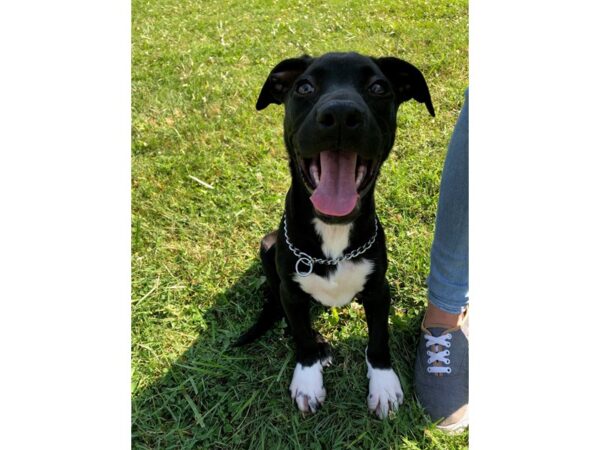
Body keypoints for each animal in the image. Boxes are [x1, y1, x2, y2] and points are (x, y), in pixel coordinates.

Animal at [232, 52, 434, 418]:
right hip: (268, 247)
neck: (334, 231)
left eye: (379, 87)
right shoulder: (292, 292)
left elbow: (379, 336)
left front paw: (383, 383)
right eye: (304, 87)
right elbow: (299, 333)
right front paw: (308, 376)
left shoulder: (378, 290)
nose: (341, 115)